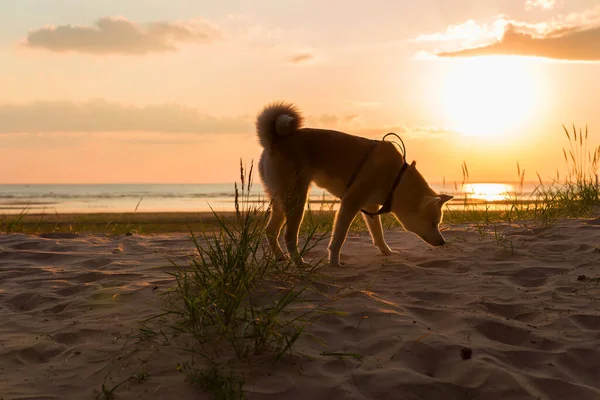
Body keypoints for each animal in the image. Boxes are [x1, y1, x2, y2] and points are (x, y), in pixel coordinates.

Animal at [255, 101, 452, 268]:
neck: (397, 178)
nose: (443, 242)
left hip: (281, 202)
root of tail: (275, 140)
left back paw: (280, 257)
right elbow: (339, 238)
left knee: (270, 231)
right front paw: (334, 262)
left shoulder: (370, 208)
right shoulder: (350, 203)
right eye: (434, 222)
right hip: (297, 201)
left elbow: (378, 234)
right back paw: (300, 263)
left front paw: (387, 253)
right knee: (288, 236)